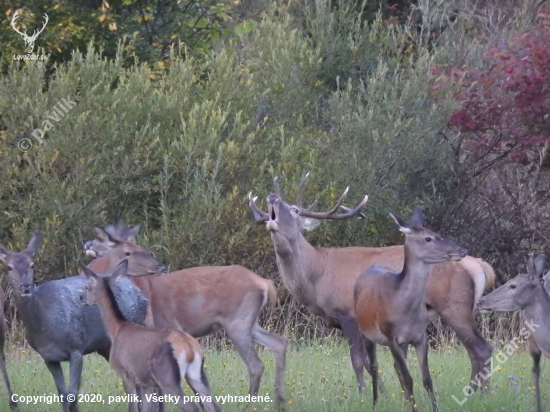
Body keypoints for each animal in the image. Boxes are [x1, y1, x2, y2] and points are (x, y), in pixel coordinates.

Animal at [82, 260, 220, 412]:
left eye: (87, 287)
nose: (82, 298)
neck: (117, 329)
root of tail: (189, 348)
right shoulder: (145, 382)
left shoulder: (126, 373)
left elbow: (134, 407)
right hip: (197, 375)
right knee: (213, 406)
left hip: (167, 377)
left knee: (192, 407)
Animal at [356, 211, 468, 410]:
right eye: (428, 238)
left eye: (437, 233)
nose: (462, 250)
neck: (405, 310)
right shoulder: (390, 337)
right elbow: (408, 379)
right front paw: (413, 408)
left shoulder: (420, 336)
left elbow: (426, 379)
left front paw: (433, 408)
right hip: (365, 332)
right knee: (374, 366)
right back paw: (375, 402)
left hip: (402, 343)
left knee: (395, 367)